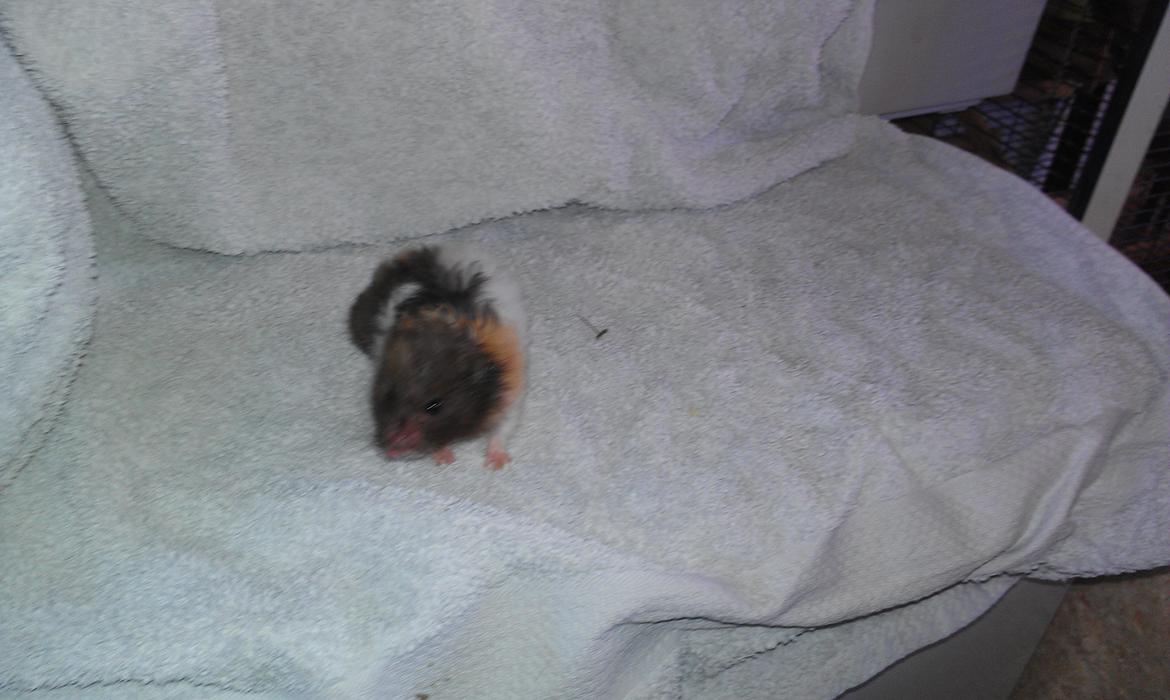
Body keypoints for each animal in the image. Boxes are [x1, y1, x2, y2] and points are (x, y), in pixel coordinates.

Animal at [348, 245, 526, 469]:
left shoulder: (510, 394)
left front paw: (495, 464)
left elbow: (501, 430)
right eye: (389, 394)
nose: (391, 451)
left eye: (434, 407)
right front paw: (445, 460)